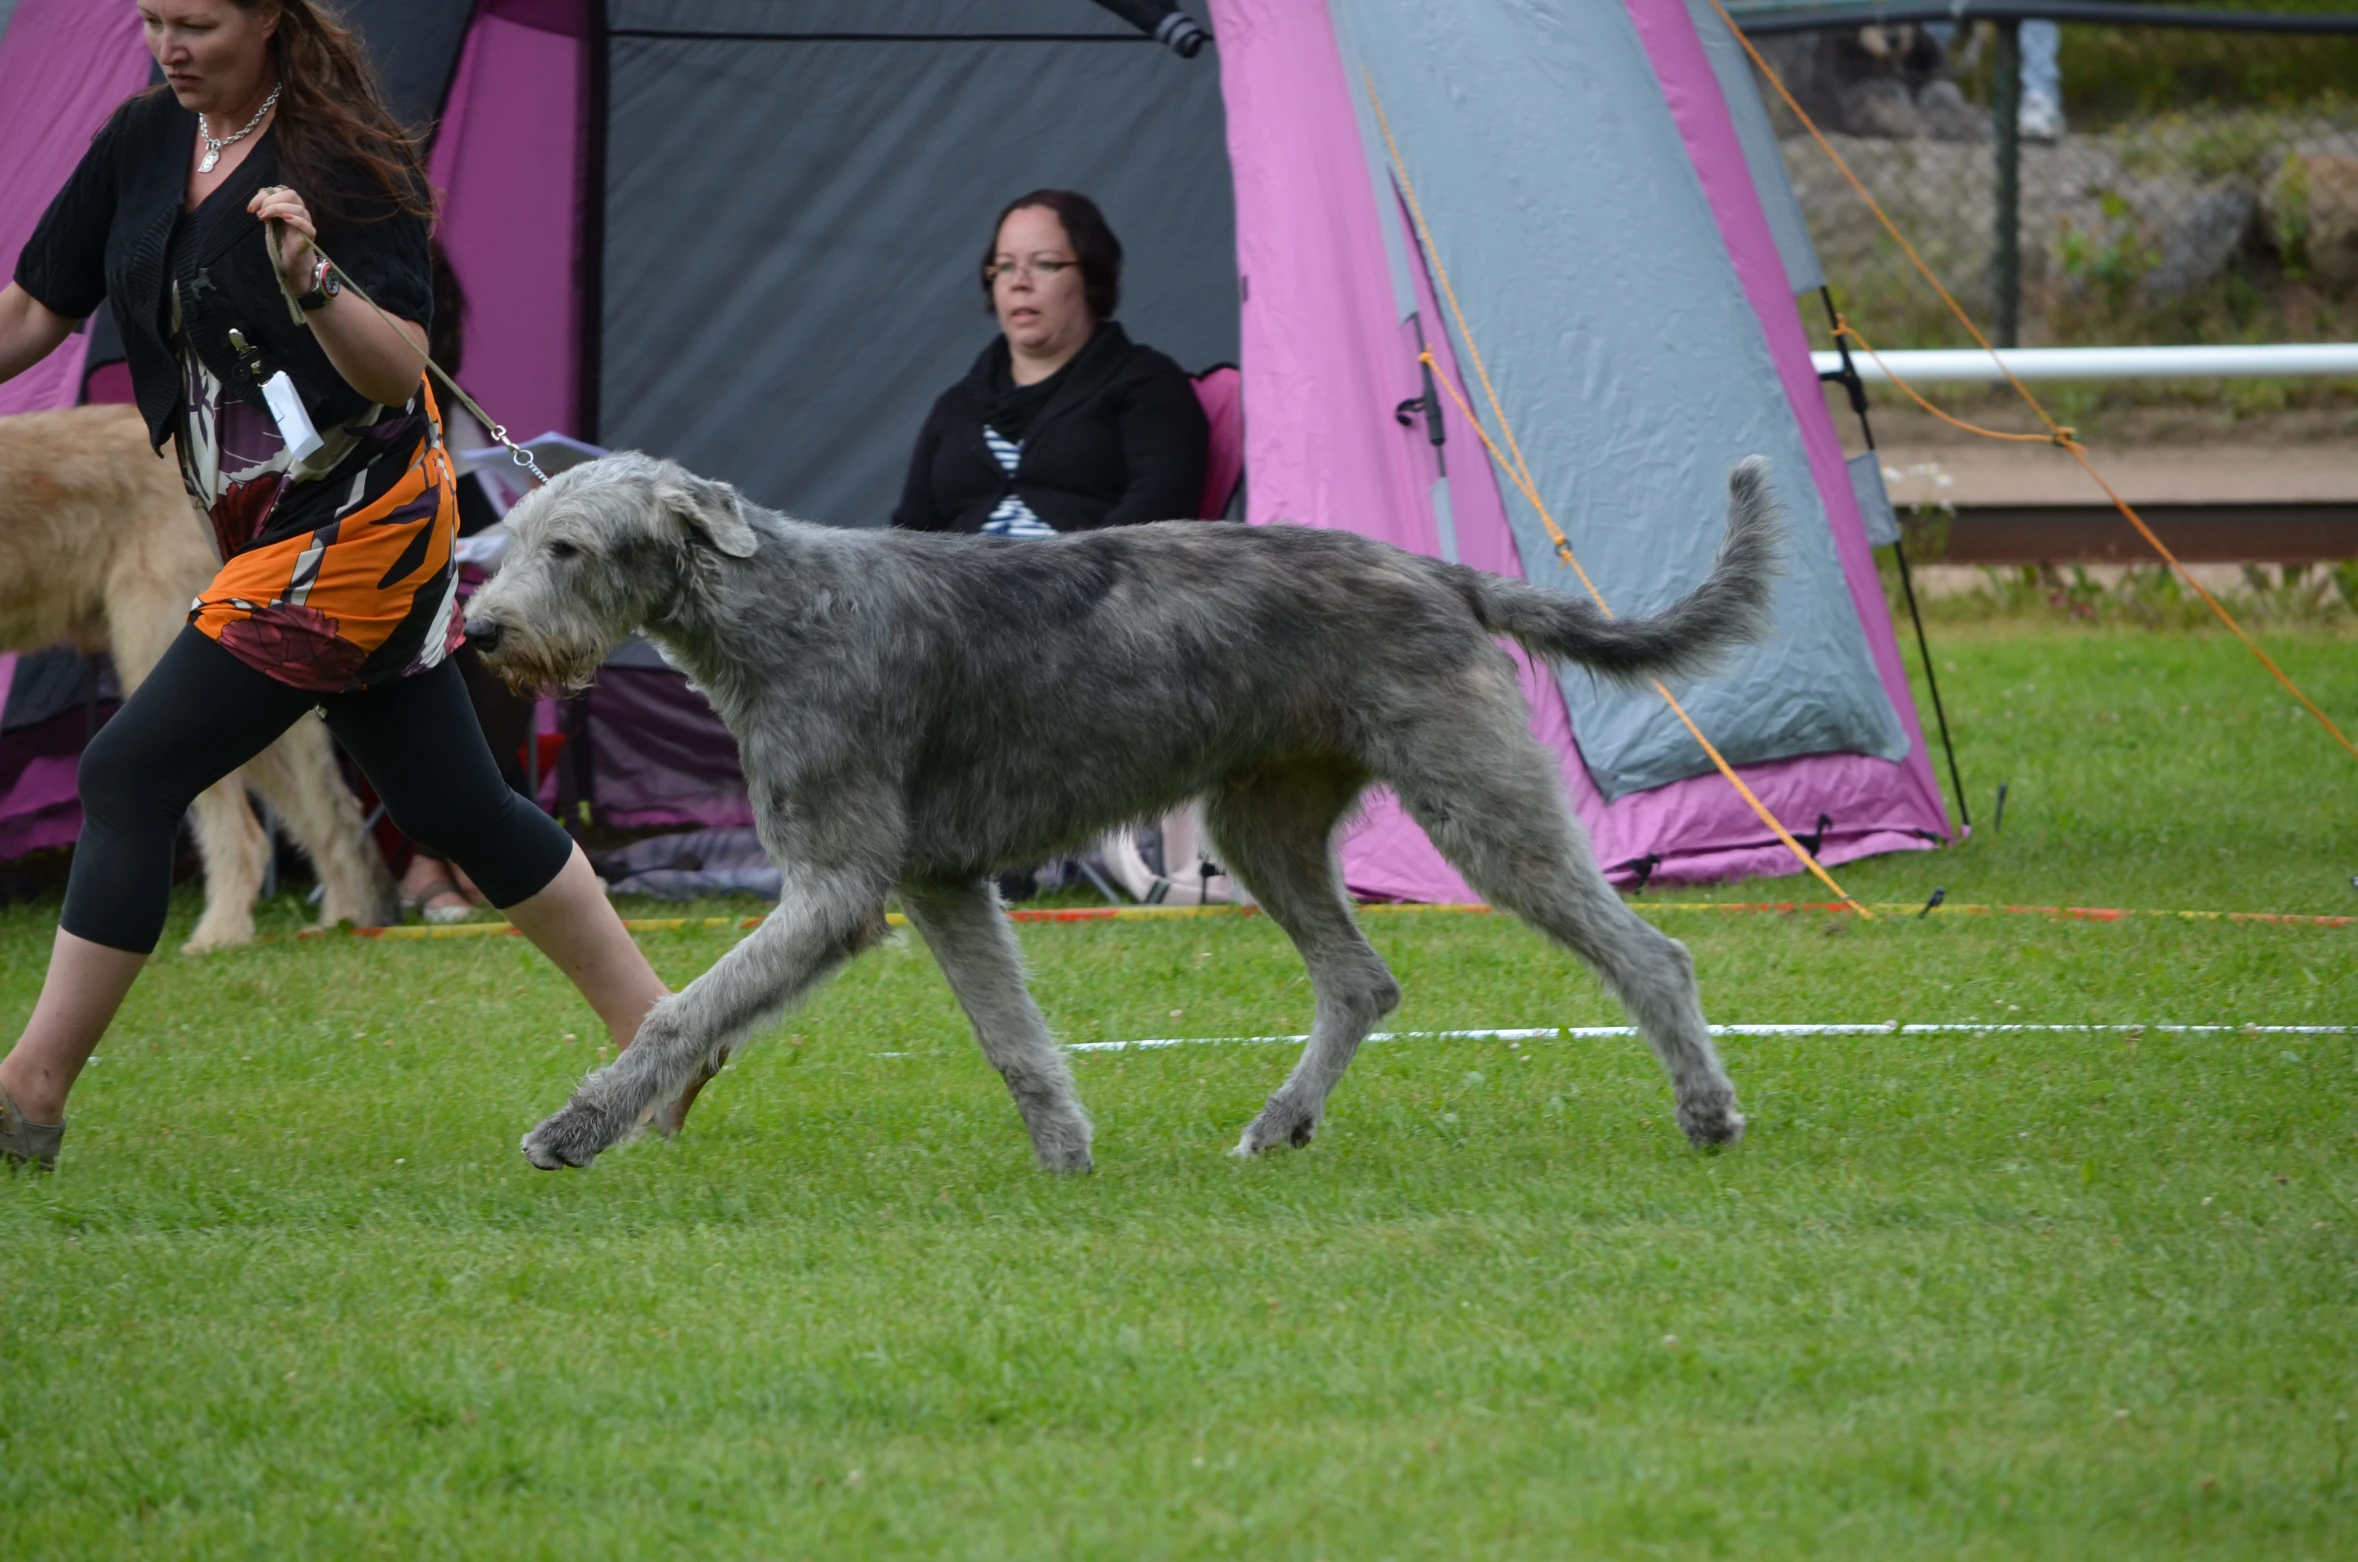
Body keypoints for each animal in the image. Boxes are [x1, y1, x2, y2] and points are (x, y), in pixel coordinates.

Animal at [469, 453, 1773, 1175]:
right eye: (508, 538)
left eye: (569, 545)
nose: (478, 631)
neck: (779, 608)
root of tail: (1436, 571)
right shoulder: (944, 881)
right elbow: (1013, 1037)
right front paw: (1066, 1156)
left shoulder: (838, 882)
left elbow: (688, 1011)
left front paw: (575, 1128)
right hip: (1265, 823)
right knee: (1361, 981)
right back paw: (1280, 1121)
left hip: (1476, 797)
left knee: (1647, 951)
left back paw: (1707, 1109)